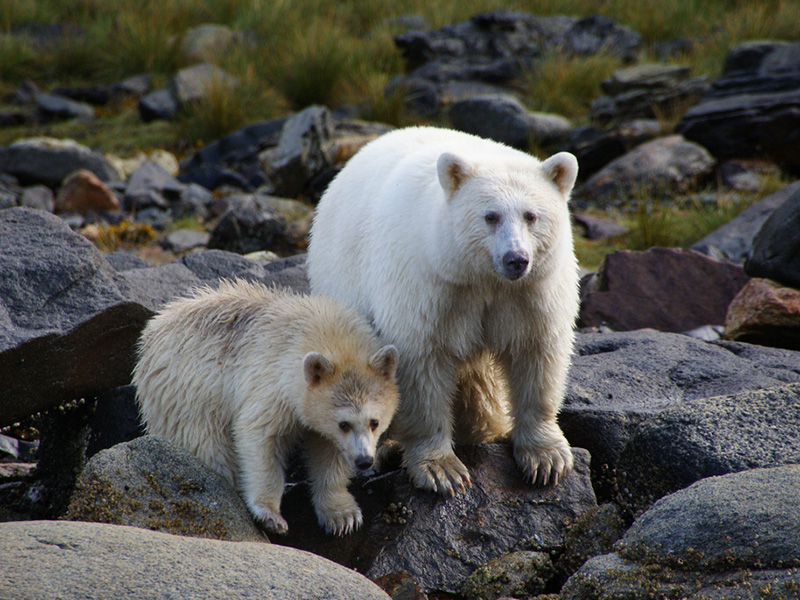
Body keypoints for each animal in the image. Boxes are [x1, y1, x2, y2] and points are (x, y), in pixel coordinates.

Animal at [135, 280, 406, 536]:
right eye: (344, 424)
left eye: (374, 422)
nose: (364, 460)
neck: (317, 329)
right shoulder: (271, 382)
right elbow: (260, 436)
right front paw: (270, 515)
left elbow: (329, 452)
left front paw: (342, 516)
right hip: (187, 395)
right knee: (207, 445)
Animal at [304, 127, 576, 496]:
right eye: (491, 216)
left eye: (531, 215)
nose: (515, 259)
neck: (481, 278)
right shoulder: (431, 285)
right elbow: (421, 361)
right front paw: (441, 469)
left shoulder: (530, 292)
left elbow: (537, 353)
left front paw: (546, 458)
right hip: (343, 280)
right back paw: (388, 446)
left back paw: (487, 426)